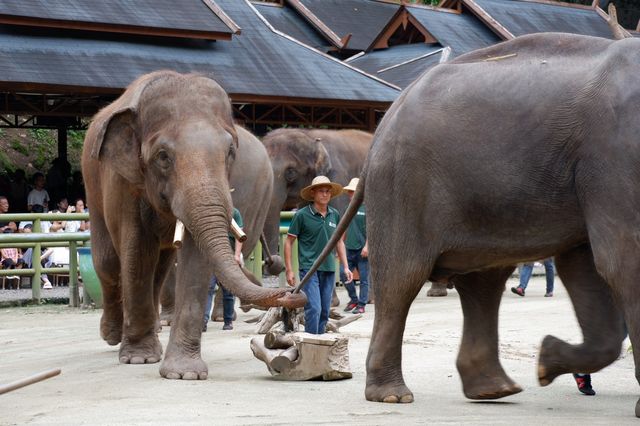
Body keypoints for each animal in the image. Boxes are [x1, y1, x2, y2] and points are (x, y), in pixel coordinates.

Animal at [82, 70, 304, 380]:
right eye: (162, 156)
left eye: (230, 152)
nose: (294, 293)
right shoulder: (123, 180)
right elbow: (137, 250)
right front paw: (139, 359)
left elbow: (195, 256)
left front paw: (184, 374)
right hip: (92, 182)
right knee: (108, 263)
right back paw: (113, 337)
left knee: (160, 267)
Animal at [296, 34, 636, 416]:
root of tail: (385, 121)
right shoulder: (613, 158)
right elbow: (621, 261)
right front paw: (547, 362)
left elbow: (586, 265)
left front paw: (546, 361)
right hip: (402, 185)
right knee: (402, 279)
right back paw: (393, 395)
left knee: (483, 282)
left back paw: (495, 389)